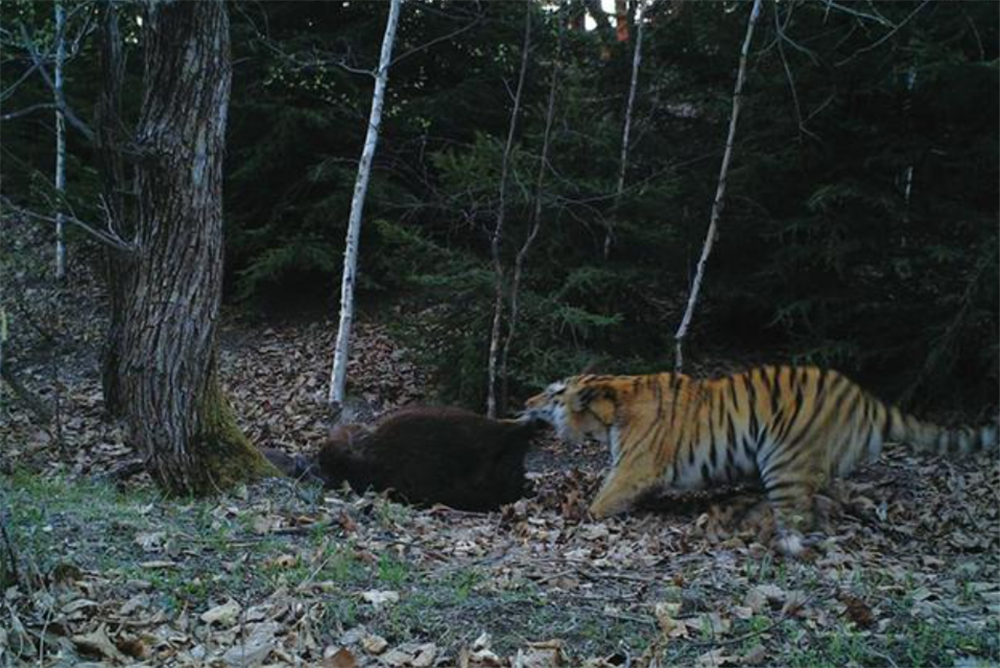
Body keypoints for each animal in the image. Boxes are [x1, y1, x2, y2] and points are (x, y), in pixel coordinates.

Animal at [524, 366, 1000, 552]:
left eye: (552, 393)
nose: (527, 402)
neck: (611, 405)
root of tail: (863, 396)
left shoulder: (634, 468)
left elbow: (601, 501)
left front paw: (577, 515)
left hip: (784, 458)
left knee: (799, 515)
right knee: (833, 496)